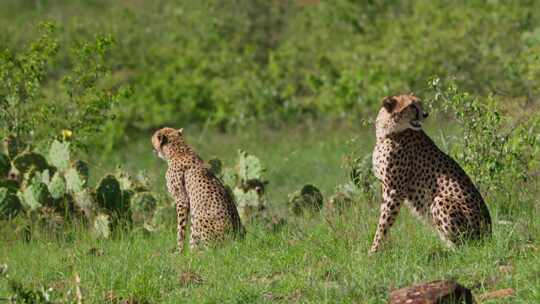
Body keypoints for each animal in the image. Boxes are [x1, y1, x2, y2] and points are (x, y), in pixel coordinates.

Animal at [370, 94, 492, 253]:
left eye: (419, 104)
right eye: (412, 106)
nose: (425, 114)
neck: (388, 132)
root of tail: (489, 235)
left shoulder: (394, 190)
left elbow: (384, 223)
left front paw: (373, 252)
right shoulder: (386, 186)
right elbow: (383, 218)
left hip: (440, 200)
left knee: (465, 246)